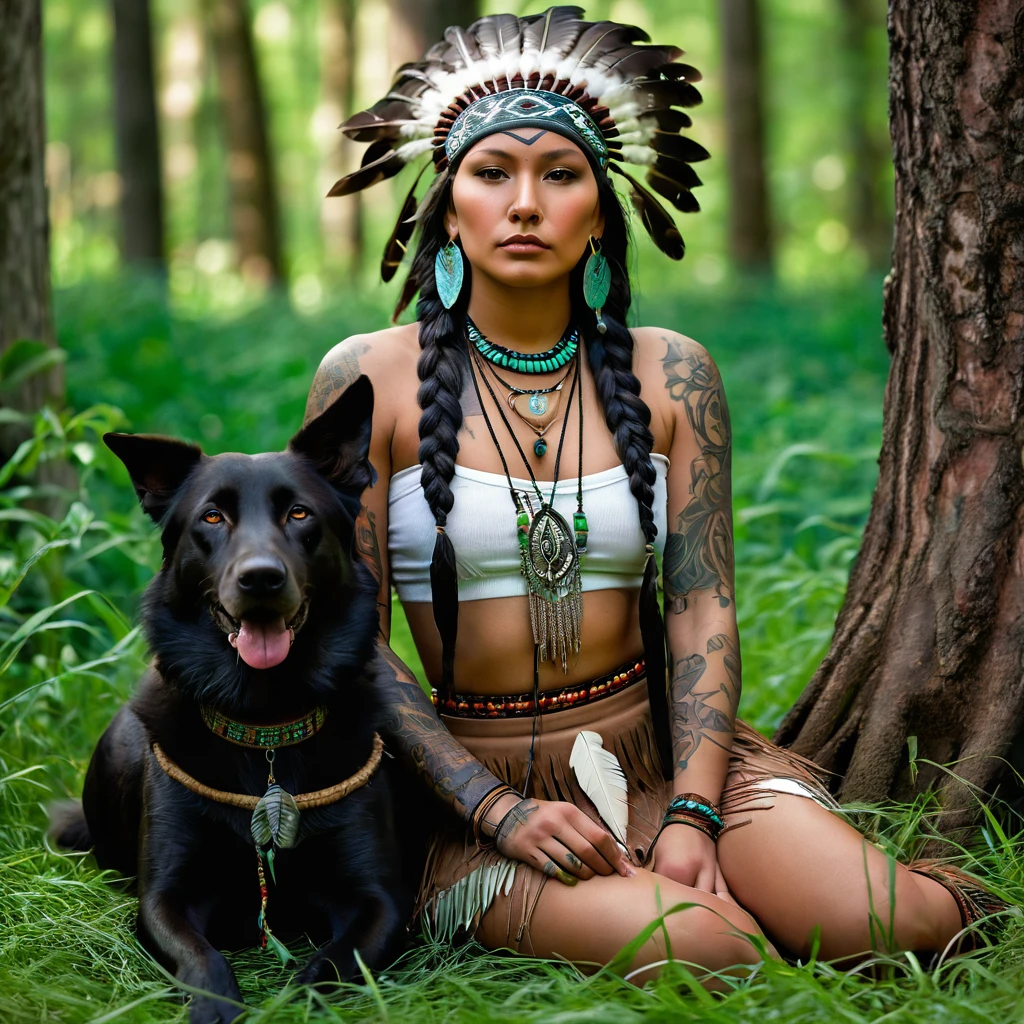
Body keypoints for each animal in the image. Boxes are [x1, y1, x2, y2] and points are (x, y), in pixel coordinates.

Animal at [48, 378, 407, 1024]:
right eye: (212, 517)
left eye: (299, 513)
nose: (260, 578)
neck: (264, 721)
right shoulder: (165, 896)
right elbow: (203, 960)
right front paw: (217, 1009)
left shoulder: (381, 900)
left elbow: (330, 967)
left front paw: (298, 999)